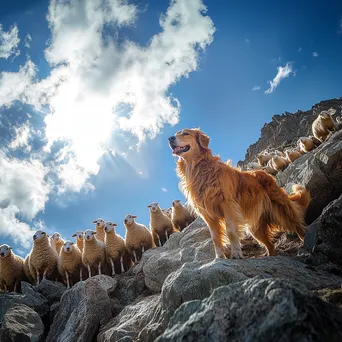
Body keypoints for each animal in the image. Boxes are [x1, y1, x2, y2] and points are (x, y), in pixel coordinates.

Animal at [168, 128, 310, 260]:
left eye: (185, 133)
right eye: (176, 133)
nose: (170, 138)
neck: (200, 169)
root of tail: (265, 174)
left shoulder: (228, 205)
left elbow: (230, 232)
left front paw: (236, 254)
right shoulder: (208, 215)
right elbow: (215, 237)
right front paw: (219, 257)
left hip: (282, 210)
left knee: (296, 224)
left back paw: (305, 241)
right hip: (255, 228)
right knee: (270, 245)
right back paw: (271, 255)